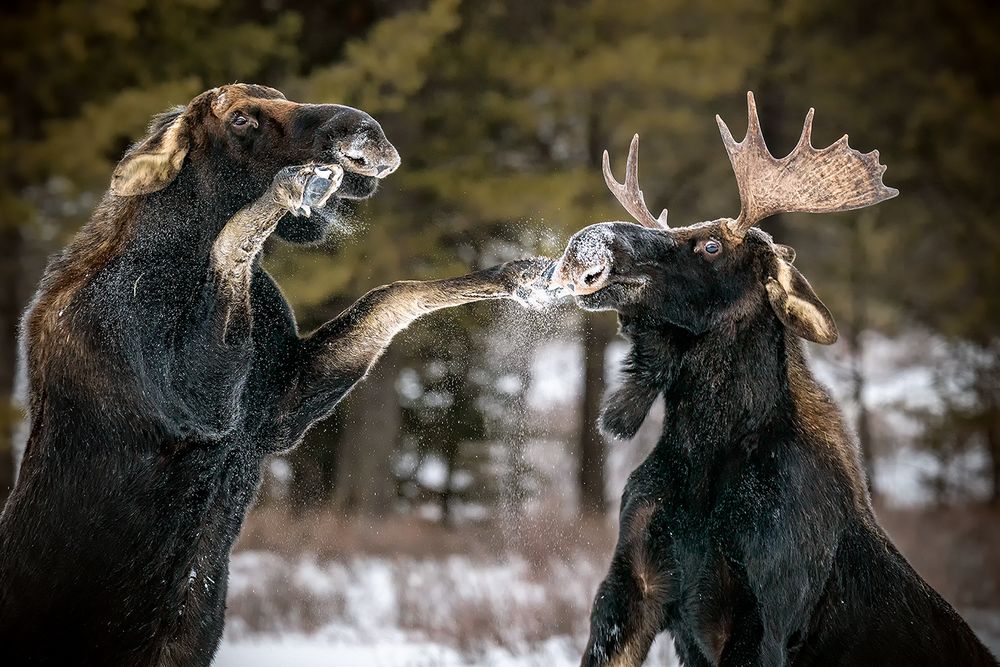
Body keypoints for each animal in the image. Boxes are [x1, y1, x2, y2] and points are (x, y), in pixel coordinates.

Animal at [0, 85, 548, 667]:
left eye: (281, 96)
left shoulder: (277, 411)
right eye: (241, 119)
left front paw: (519, 276)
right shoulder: (198, 402)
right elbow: (234, 238)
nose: (365, 130)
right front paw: (284, 192)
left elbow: (395, 292)